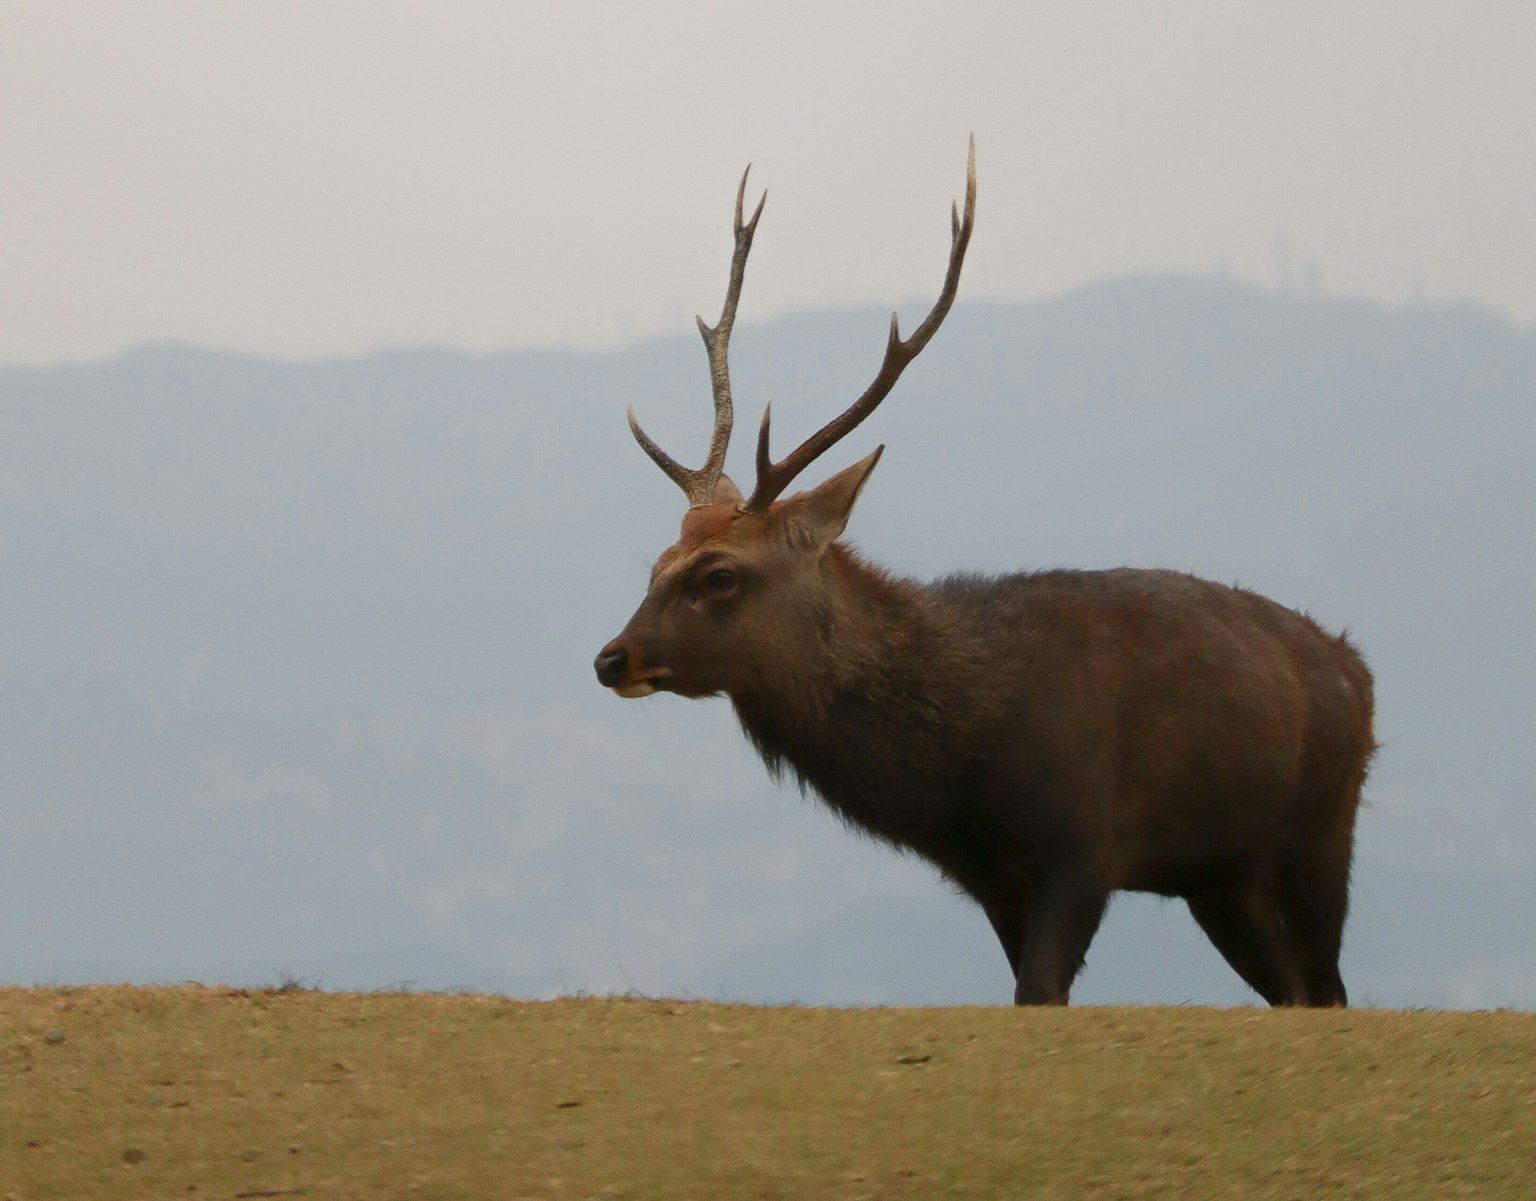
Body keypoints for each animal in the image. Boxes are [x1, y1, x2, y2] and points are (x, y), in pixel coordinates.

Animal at [594, 138, 1375, 1006]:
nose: (612, 657)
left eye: (720, 574)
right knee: (1295, 989)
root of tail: (1357, 669)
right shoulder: (992, 880)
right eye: (659, 562)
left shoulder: (1083, 846)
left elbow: (1040, 990)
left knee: (1329, 985)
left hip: (1322, 832)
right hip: (1222, 876)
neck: (966, 769)